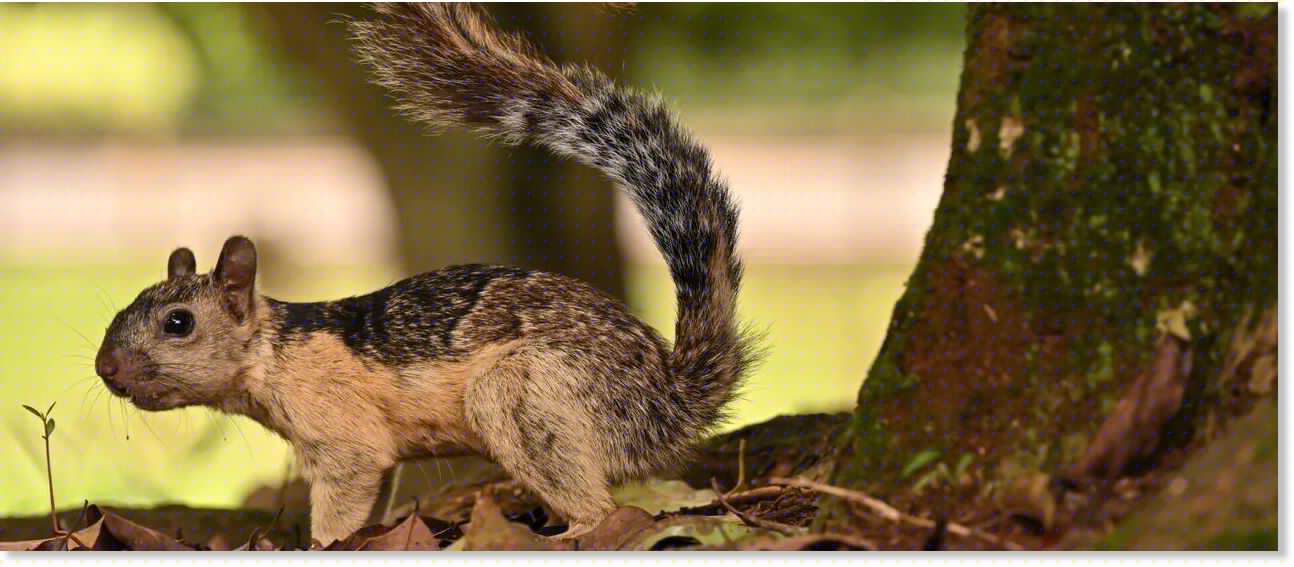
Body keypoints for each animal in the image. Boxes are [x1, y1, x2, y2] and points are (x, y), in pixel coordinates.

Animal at [94, 2, 756, 546]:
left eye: (179, 323)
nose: (105, 368)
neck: (273, 352)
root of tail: (670, 398)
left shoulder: (342, 436)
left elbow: (345, 492)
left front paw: (321, 546)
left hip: (522, 396)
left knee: (597, 504)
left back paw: (576, 531)